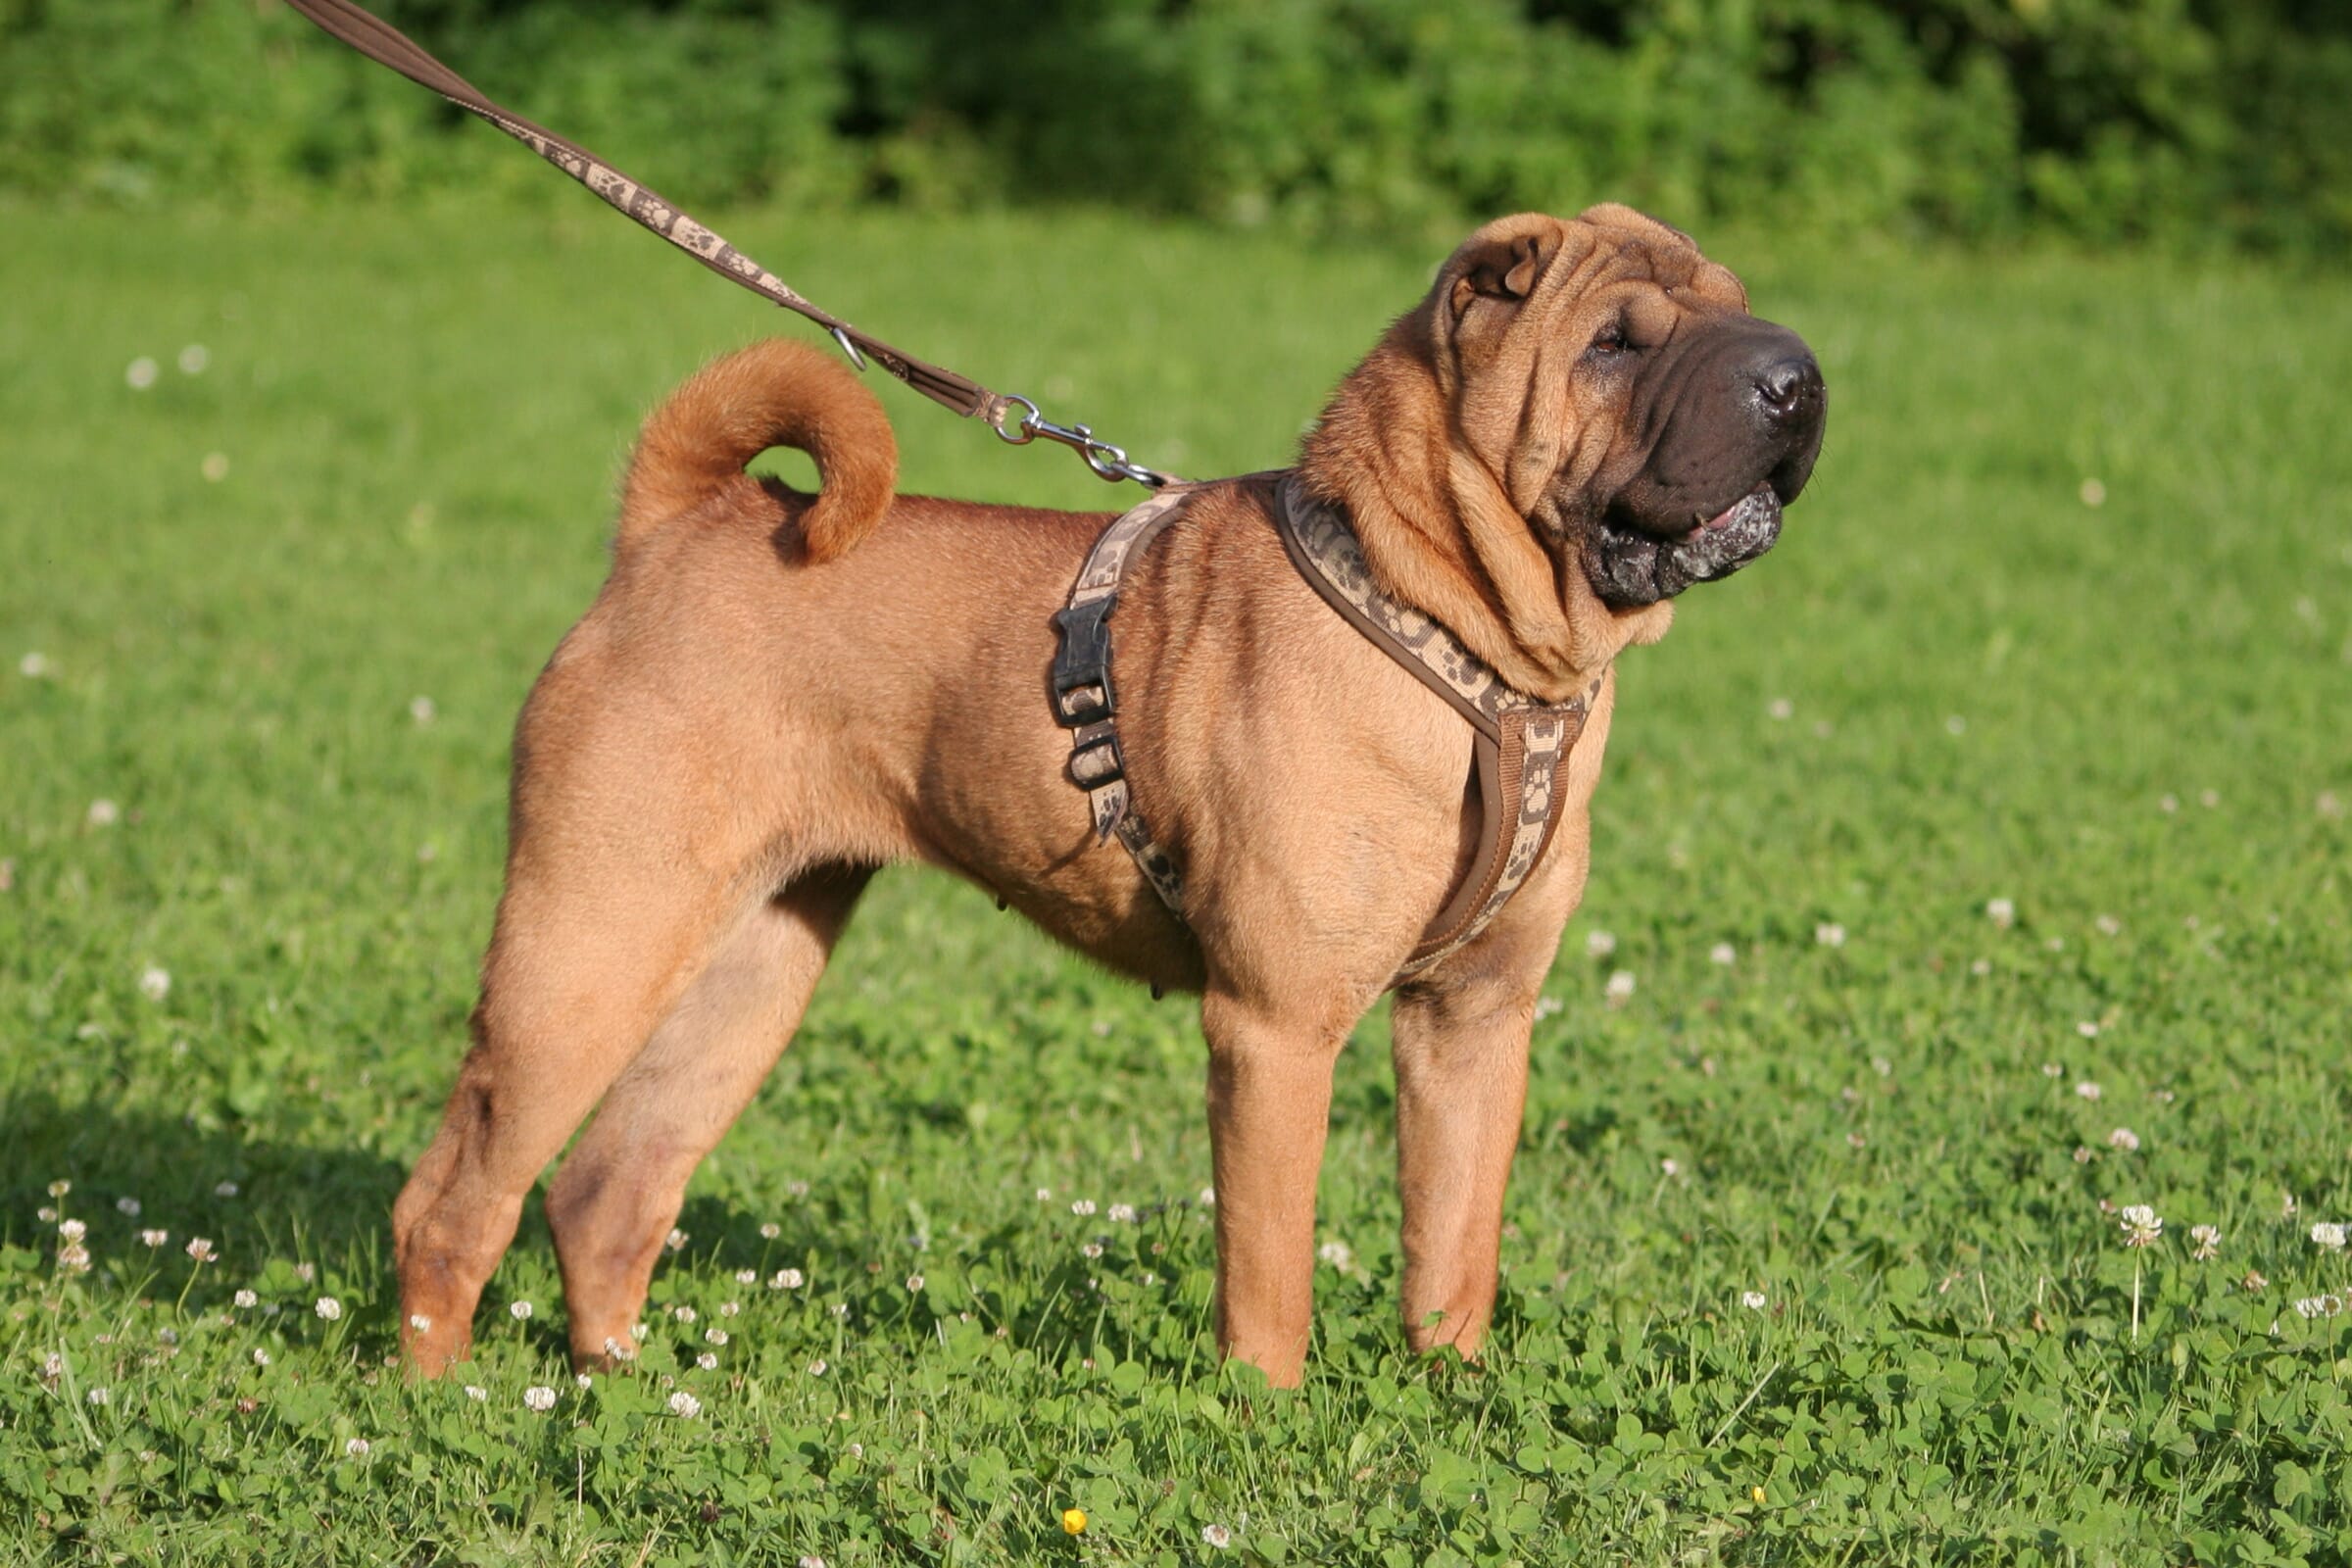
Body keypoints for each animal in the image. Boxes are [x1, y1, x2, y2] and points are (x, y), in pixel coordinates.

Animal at [395, 205, 1825, 1382]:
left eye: (1737, 301)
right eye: (1615, 346)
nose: (1797, 377)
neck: (1450, 627)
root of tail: (684, 519)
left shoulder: (1475, 1020)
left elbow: (1453, 1254)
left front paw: (1454, 1402)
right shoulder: (1277, 1028)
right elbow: (1271, 1277)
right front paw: (1264, 1428)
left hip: (753, 956)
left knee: (609, 1188)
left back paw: (624, 1394)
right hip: (588, 945)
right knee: (454, 1199)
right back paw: (442, 1404)